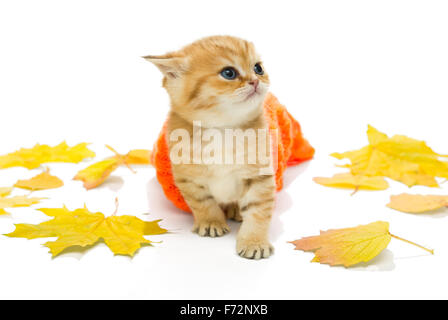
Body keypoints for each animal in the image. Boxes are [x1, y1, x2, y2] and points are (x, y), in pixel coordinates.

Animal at [145, 35, 274, 260]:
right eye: (229, 73)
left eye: (258, 68)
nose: (256, 80)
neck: (222, 130)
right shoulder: (188, 178)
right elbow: (203, 202)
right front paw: (211, 221)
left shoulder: (260, 175)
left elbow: (258, 211)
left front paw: (254, 241)